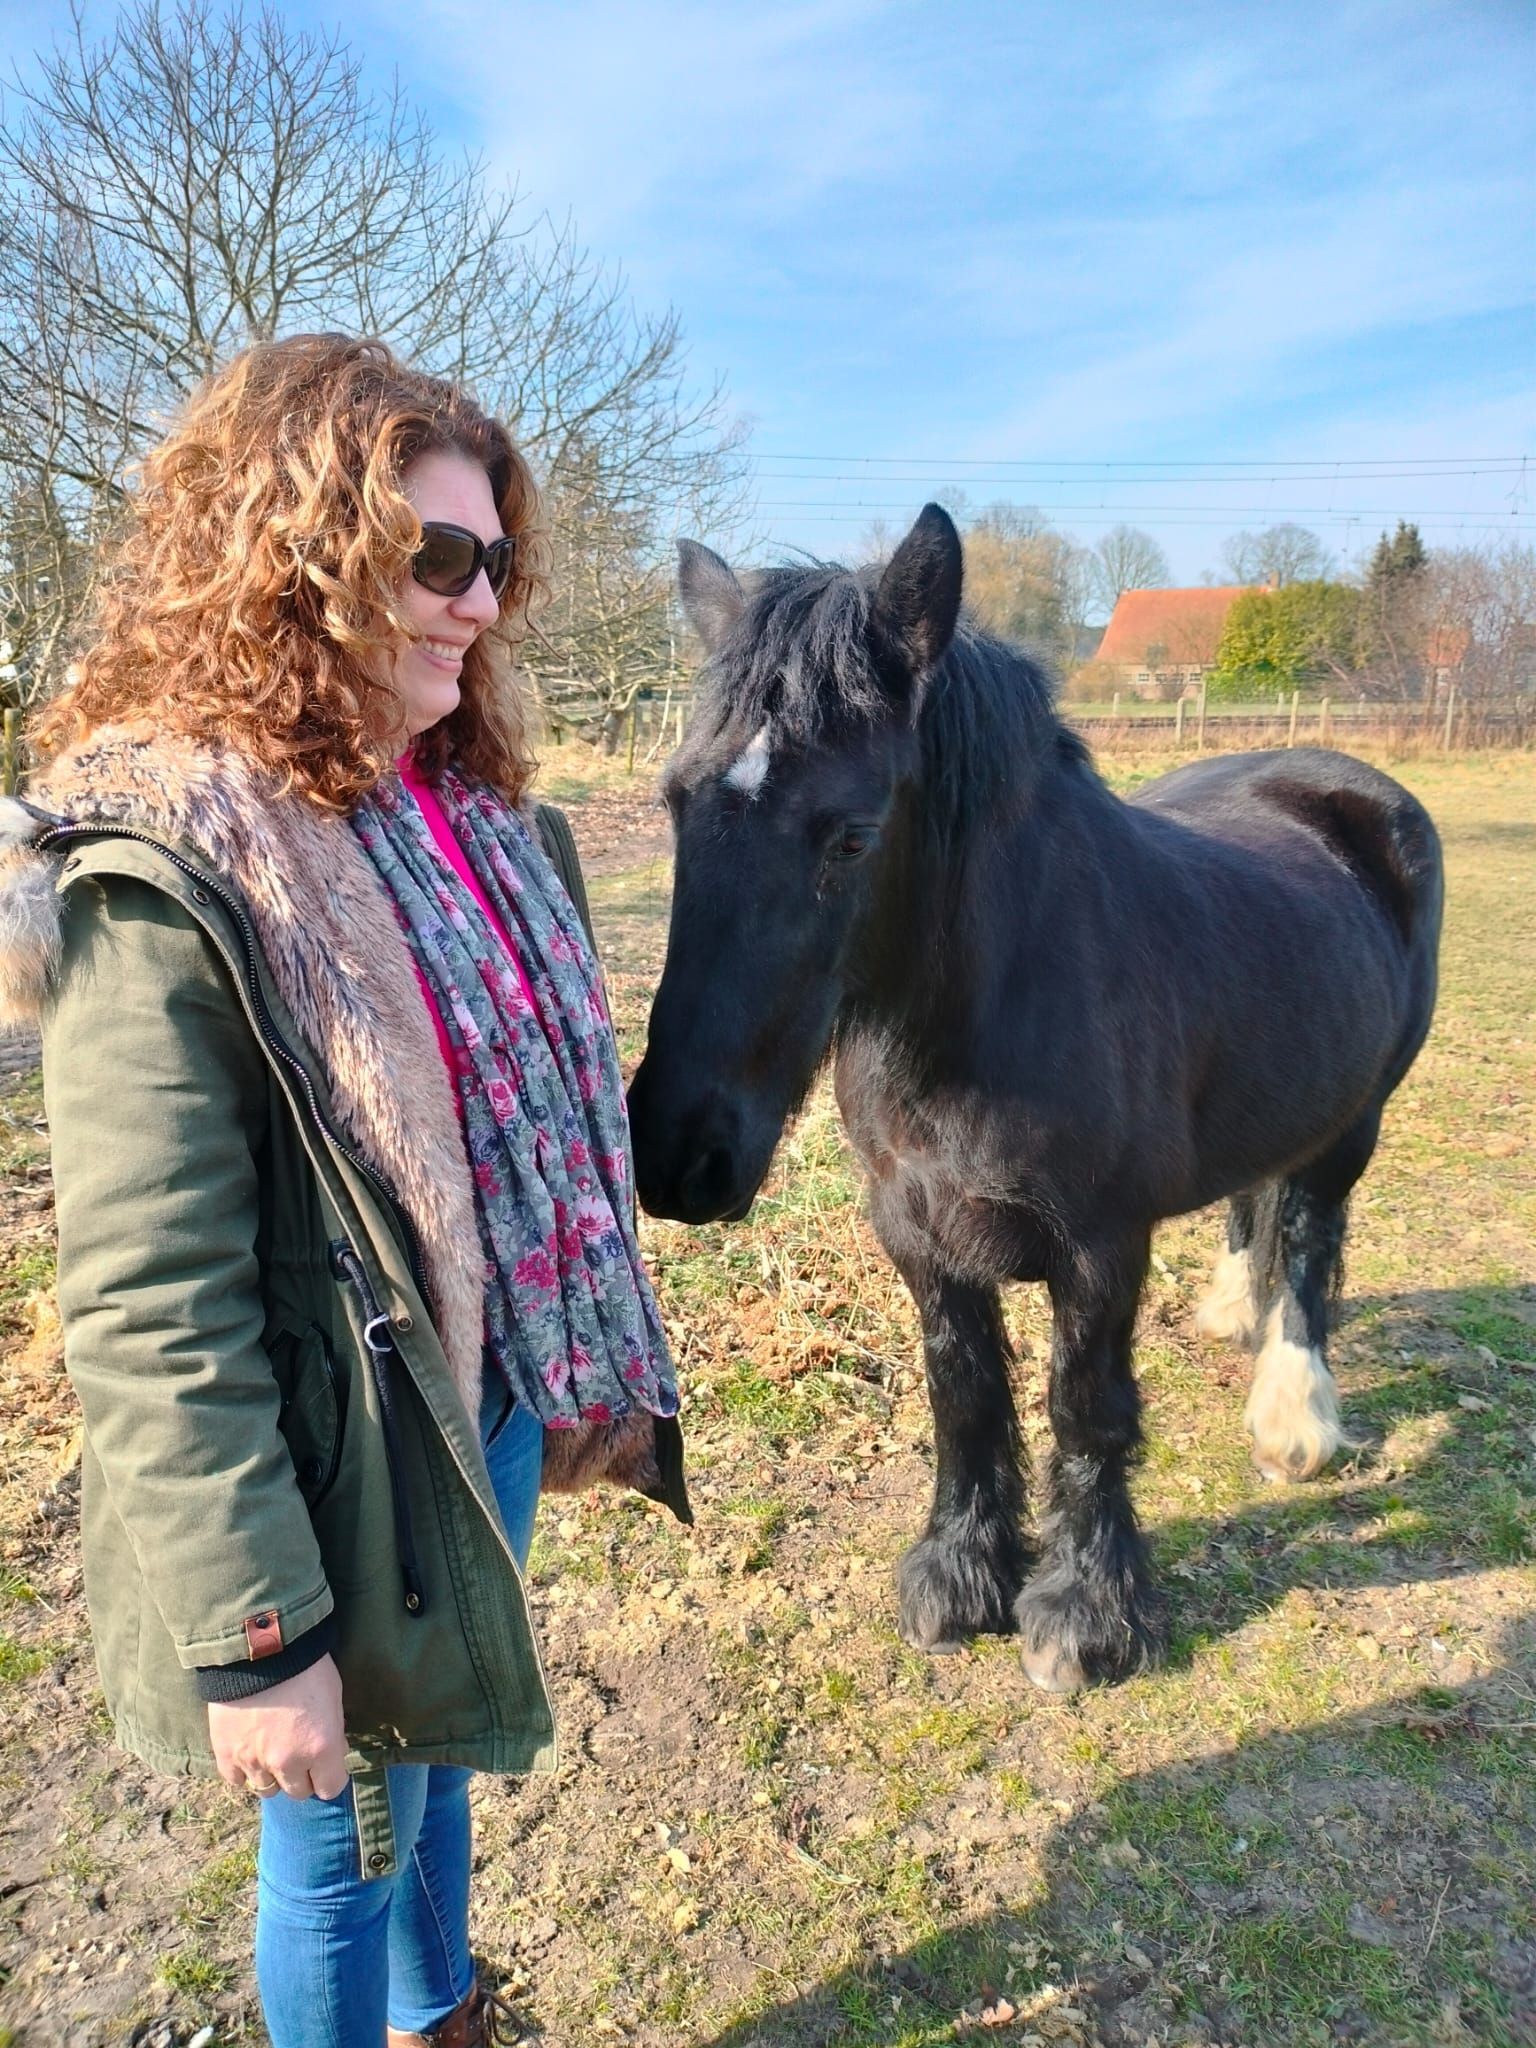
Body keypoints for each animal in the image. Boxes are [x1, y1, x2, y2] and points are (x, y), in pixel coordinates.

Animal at [626, 505, 1442, 1691]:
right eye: (677, 803)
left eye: (851, 835)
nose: (677, 1153)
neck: (988, 1005)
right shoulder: (917, 1232)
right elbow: (964, 1398)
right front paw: (959, 1578)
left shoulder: (1098, 1246)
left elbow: (1083, 1409)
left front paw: (1087, 1617)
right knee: (1255, 1198)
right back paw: (1231, 1313)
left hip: (1357, 1118)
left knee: (1308, 1233)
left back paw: (1293, 1416)